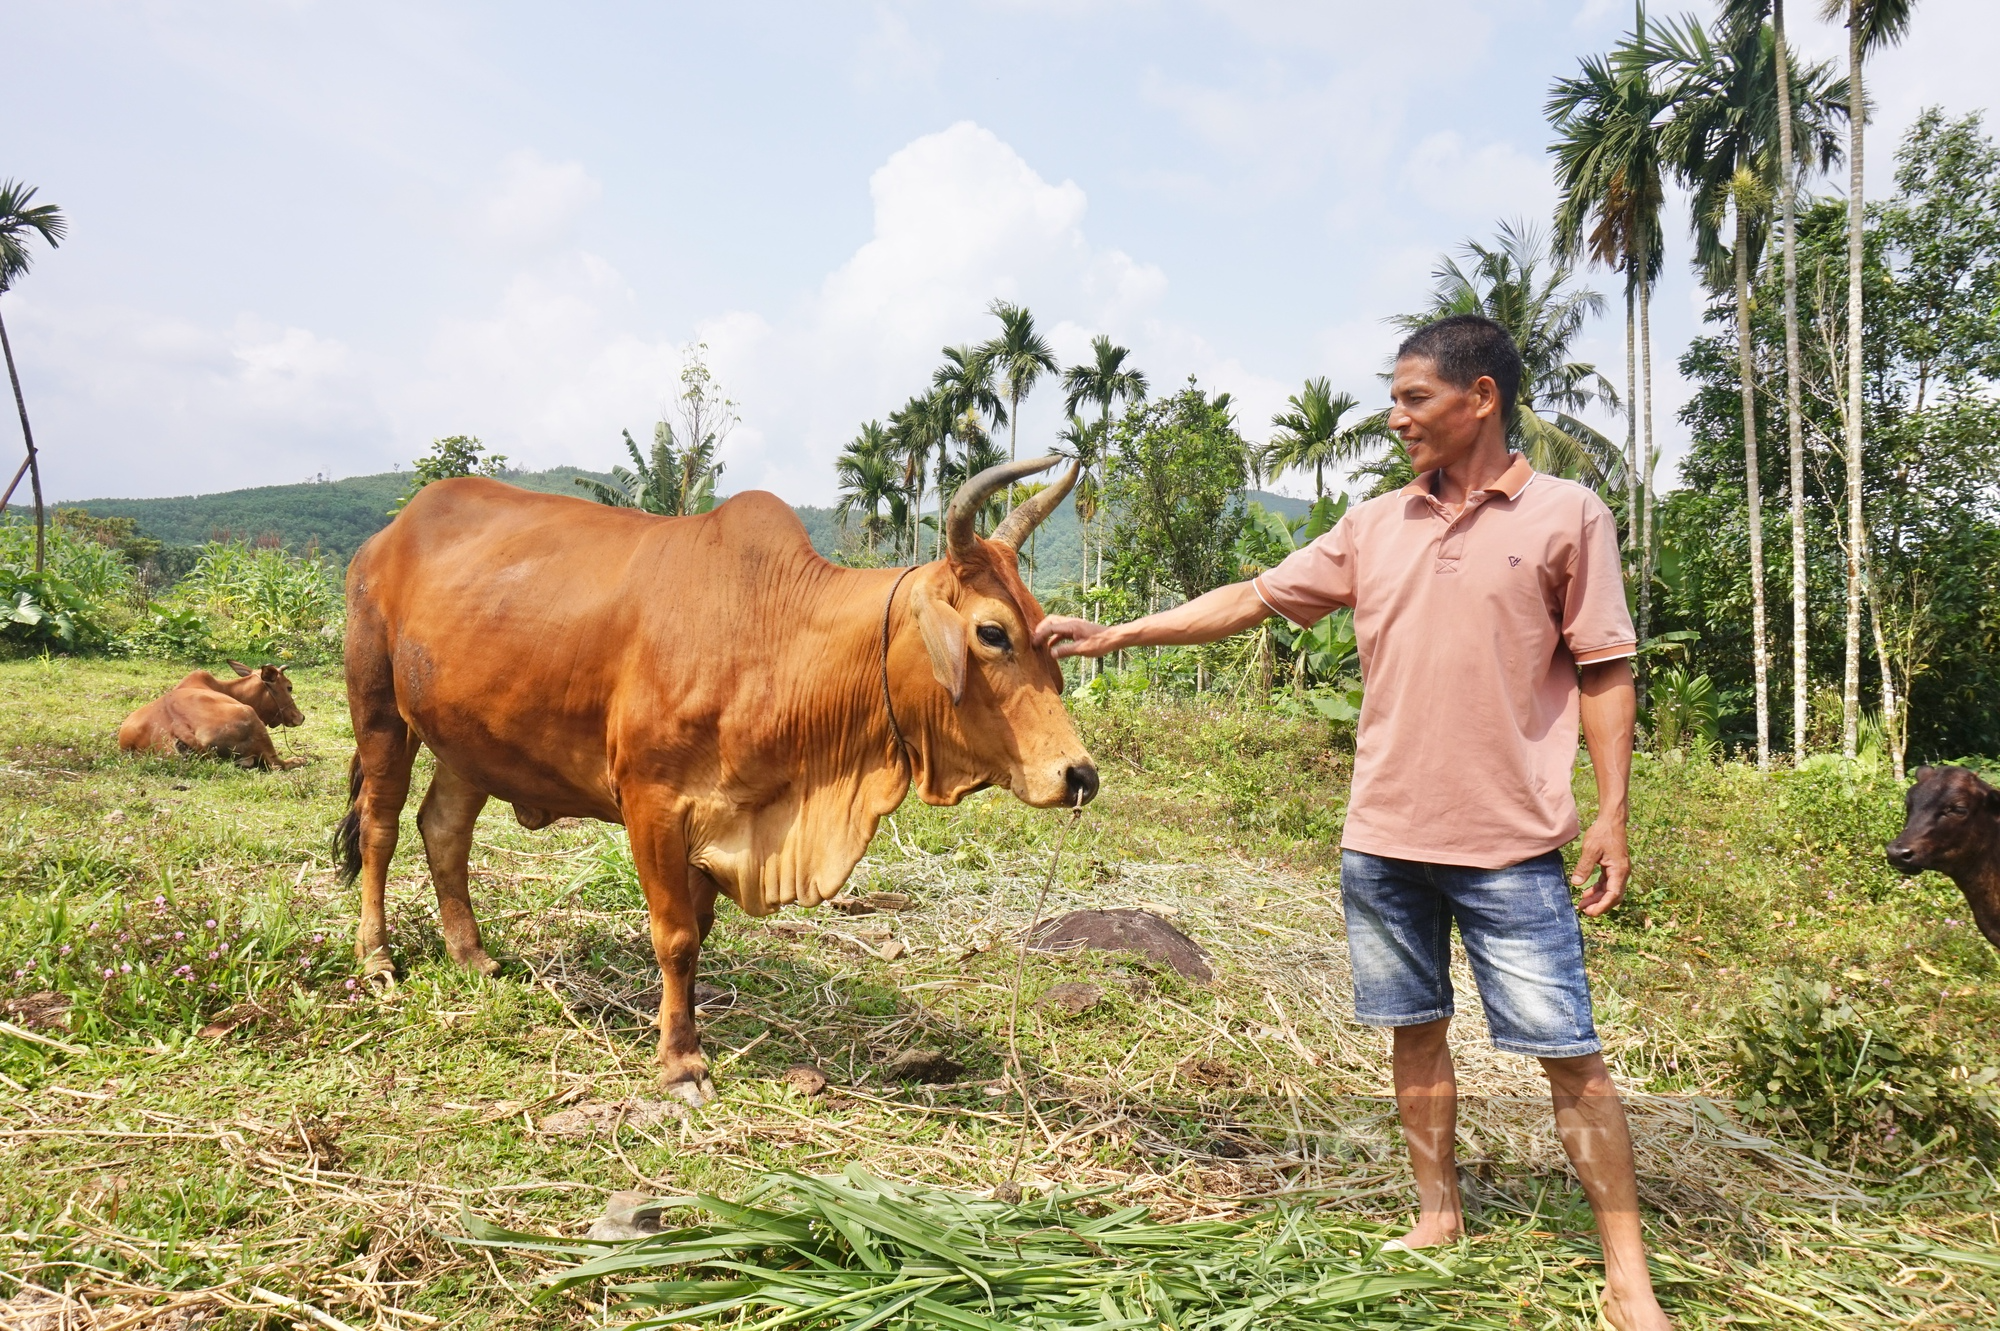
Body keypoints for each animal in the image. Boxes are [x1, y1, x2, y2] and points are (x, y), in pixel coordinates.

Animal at [336, 455, 1104, 1095]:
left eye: (1044, 627)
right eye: (992, 632)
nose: (1079, 775)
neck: (778, 638)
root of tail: (388, 535)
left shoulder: (719, 821)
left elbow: (697, 933)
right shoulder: (651, 802)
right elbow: (674, 938)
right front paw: (681, 1063)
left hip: (469, 741)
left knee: (443, 830)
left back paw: (471, 954)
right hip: (380, 711)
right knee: (380, 829)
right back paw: (376, 957)